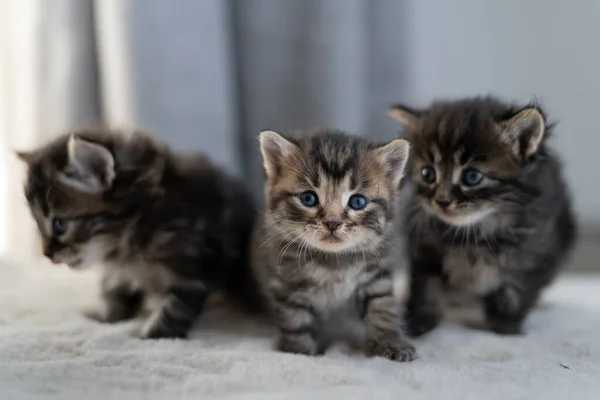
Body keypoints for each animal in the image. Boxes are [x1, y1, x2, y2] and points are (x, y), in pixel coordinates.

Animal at [18, 127, 258, 338]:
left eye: (59, 224)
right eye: (37, 222)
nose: (47, 254)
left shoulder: (198, 262)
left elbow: (177, 306)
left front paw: (154, 333)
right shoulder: (119, 272)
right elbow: (114, 291)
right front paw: (109, 319)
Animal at [251, 129, 414, 362]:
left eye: (358, 202)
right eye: (308, 198)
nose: (333, 223)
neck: (333, 260)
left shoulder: (375, 273)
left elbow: (382, 307)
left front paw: (391, 342)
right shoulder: (287, 283)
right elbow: (295, 321)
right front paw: (300, 351)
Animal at [390, 97, 576, 338]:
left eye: (472, 177)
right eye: (428, 174)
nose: (442, 201)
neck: (475, 232)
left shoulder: (537, 253)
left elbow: (516, 291)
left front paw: (506, 328)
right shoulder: (424, 247)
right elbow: (425, 287)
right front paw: (417, 323)